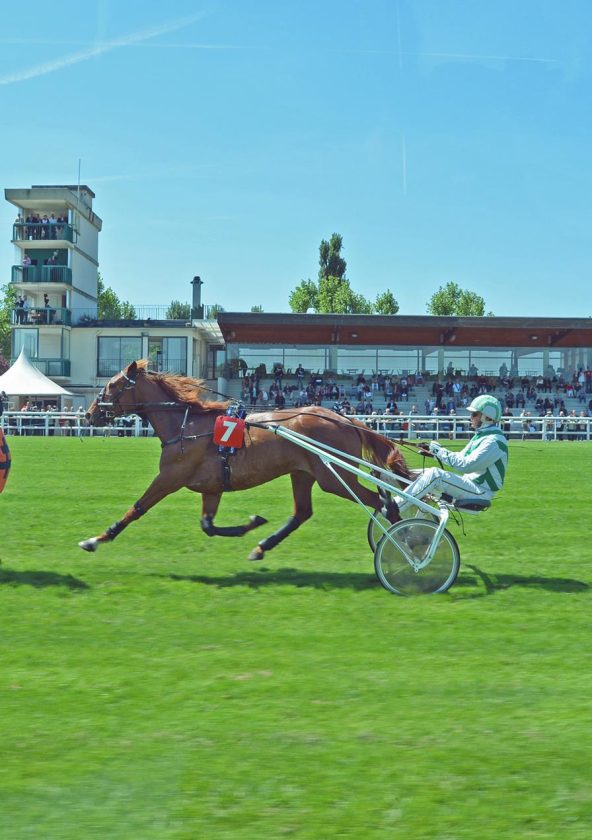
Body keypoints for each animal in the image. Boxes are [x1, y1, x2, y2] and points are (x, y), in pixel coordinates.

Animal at [78, 360, 410, 560]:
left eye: (111, 385)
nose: (89, 415)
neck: (186, 426)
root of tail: (344, 419)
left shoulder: (170, 477)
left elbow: (136, 509)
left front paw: (95, 539)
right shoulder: (211, 487)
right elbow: (208, 525)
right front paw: (251, 523)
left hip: (335, 477)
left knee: (383, 502)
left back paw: (407, 541)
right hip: (304, 473)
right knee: (303, 513)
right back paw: (261, 547)